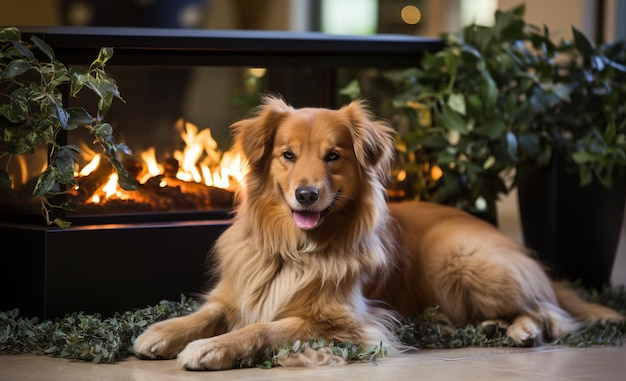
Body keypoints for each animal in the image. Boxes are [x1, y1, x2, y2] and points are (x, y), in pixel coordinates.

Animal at [132, 96, 620, 370]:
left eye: (333, 156)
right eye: (288, 155)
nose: (306, 195)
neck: (294, 250)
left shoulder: (347, 324)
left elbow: (265, 328)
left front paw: (211, 348)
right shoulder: (236, 292)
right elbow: (207, 313)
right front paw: (164, 332)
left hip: (462, 259)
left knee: (547, 312)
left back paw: (522, 331)